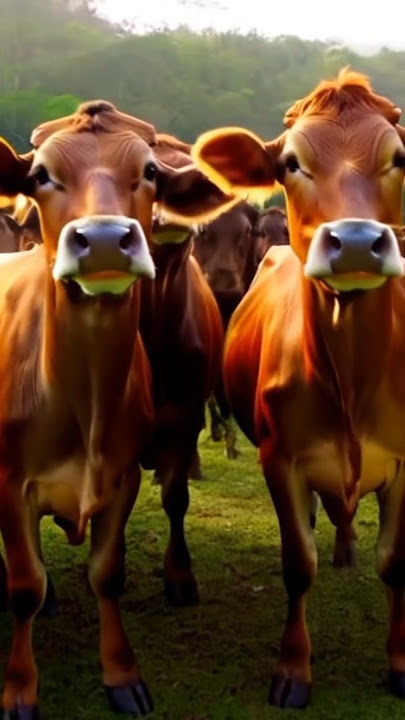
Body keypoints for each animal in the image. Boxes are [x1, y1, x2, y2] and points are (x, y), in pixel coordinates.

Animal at [0, 101, 235, 718]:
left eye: (150, 172)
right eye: (41, 175)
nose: (104, 239)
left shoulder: (136, 464)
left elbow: (111, 569)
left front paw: (123, 673)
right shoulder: (10, 482)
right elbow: (25, 584)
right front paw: (20, 687)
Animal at [191, 68, 405, 708]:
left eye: (399, 157)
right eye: (291, 163)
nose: (356, 242)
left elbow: (395, 562)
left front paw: (399, 663)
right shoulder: (280, 457)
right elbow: (297, 563)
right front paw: (292, 668)